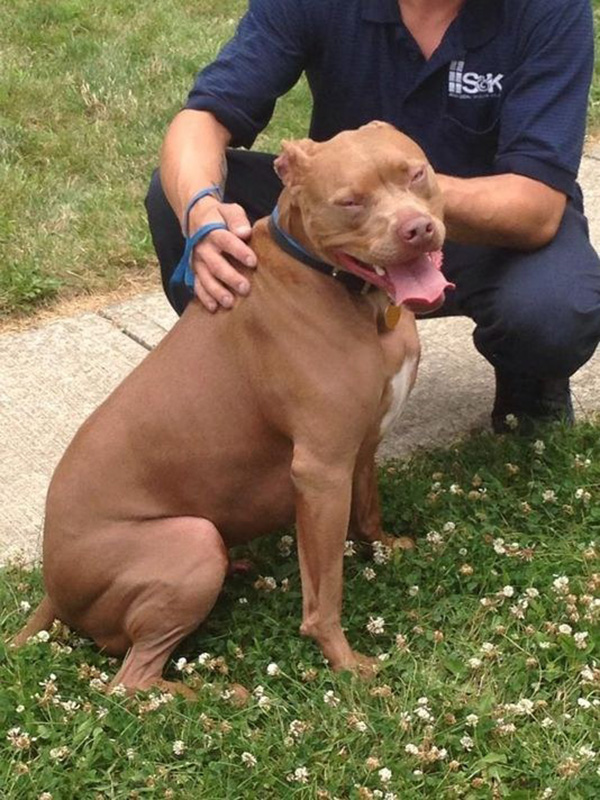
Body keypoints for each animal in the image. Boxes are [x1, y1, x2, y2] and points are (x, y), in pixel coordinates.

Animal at [12, 122, 450, 696]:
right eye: (350, 202)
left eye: (415, 173)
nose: (418, 229)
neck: (345, 290)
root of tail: (52, 585)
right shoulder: (320, 470)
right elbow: (325, 593)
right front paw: (345, 661)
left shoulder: (360, 446)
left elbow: (369, 510)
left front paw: (385, 545)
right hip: (191, 543)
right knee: (128, 682)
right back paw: (219, 693)